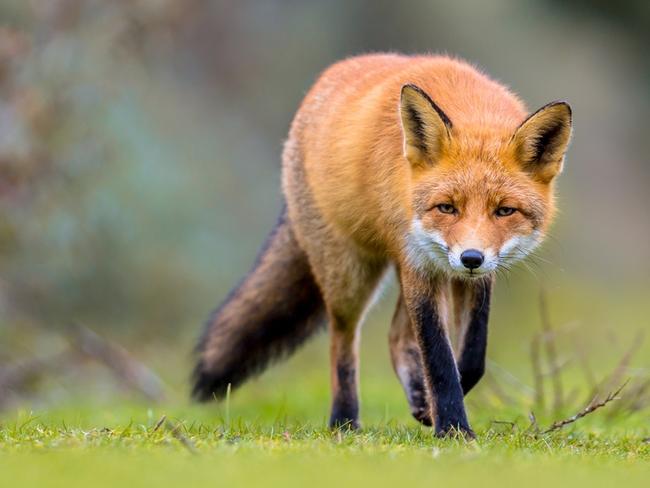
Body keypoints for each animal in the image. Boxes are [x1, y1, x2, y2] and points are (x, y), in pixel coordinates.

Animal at [190, 51, 568, 436]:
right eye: (447, 207)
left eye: (504, 211)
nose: (471, 258)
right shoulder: (419, 263)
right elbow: (439, 359)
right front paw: (453, 428)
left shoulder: (471, 276)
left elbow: (473, 355)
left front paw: (435, 407)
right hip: (350, 275)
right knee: (343, 340)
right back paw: (344, 420)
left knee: (395, 337)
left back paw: (415, 399)